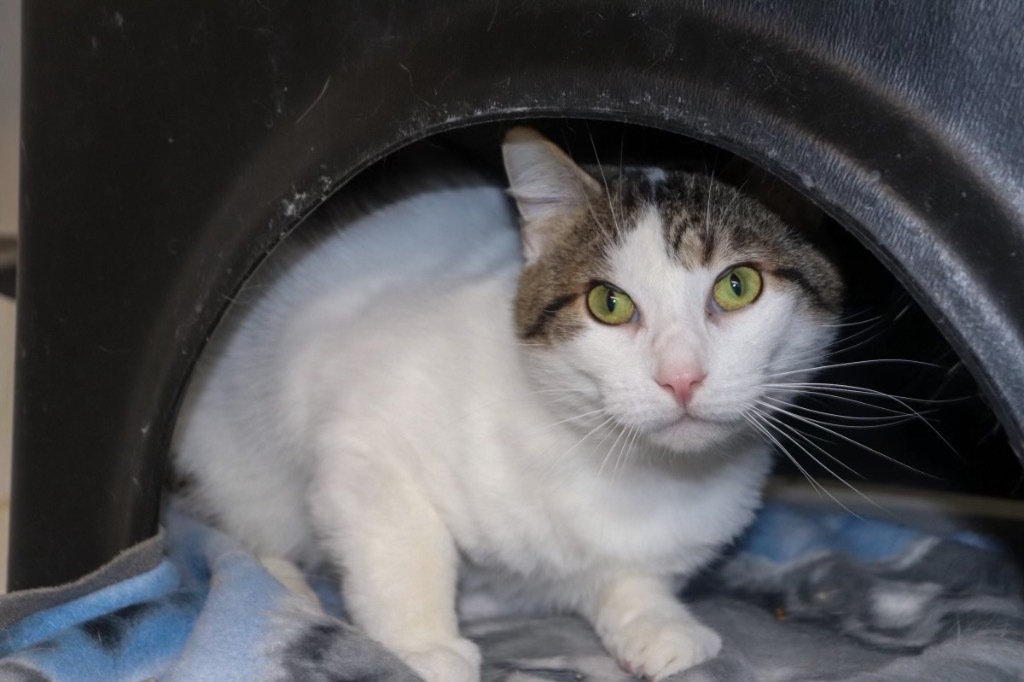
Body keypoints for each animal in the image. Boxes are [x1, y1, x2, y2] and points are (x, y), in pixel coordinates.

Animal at [174, 124, 839, 675]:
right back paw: (281, 583)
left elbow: (628, 575)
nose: (681, 377)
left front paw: (654, 618)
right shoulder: (366, 437)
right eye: (609, 303)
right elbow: (405, 543)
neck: (631, 470)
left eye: (738, 285)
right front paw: (421, 646)